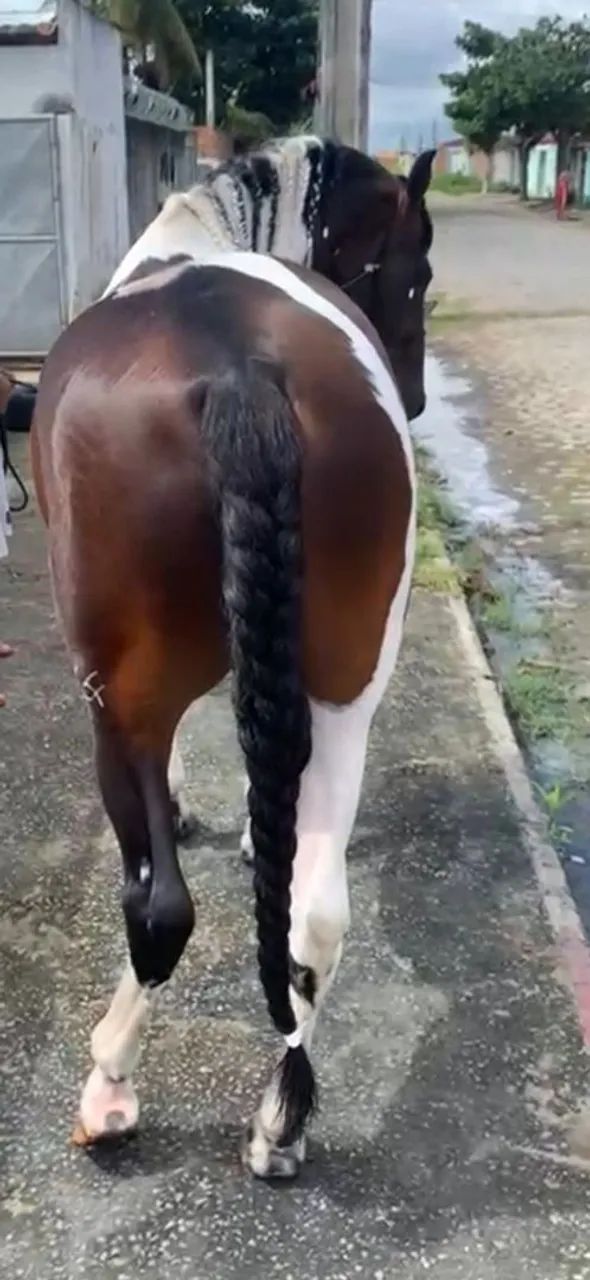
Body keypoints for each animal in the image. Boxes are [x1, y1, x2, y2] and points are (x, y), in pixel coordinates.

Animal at [30, 136, 434, 1179]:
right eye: (414, 274)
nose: (418, 398)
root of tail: (240, 367)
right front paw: (259, 829)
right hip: (350, 686)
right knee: (317, 913)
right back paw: (279, 1123)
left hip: (118, 698)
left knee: (159, 907)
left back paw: (109, 1088)